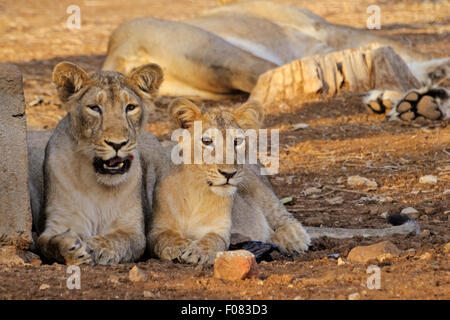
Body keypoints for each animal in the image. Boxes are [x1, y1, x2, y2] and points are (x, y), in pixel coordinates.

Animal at [31, 60, 169, 264]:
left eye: (130, 107)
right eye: (95, 108)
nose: (117, 144)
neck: (97, 185)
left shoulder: (133, 231)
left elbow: (119, 239)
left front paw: (94, 246)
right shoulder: (59, 221)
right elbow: (47, 242)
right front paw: (69, 246)